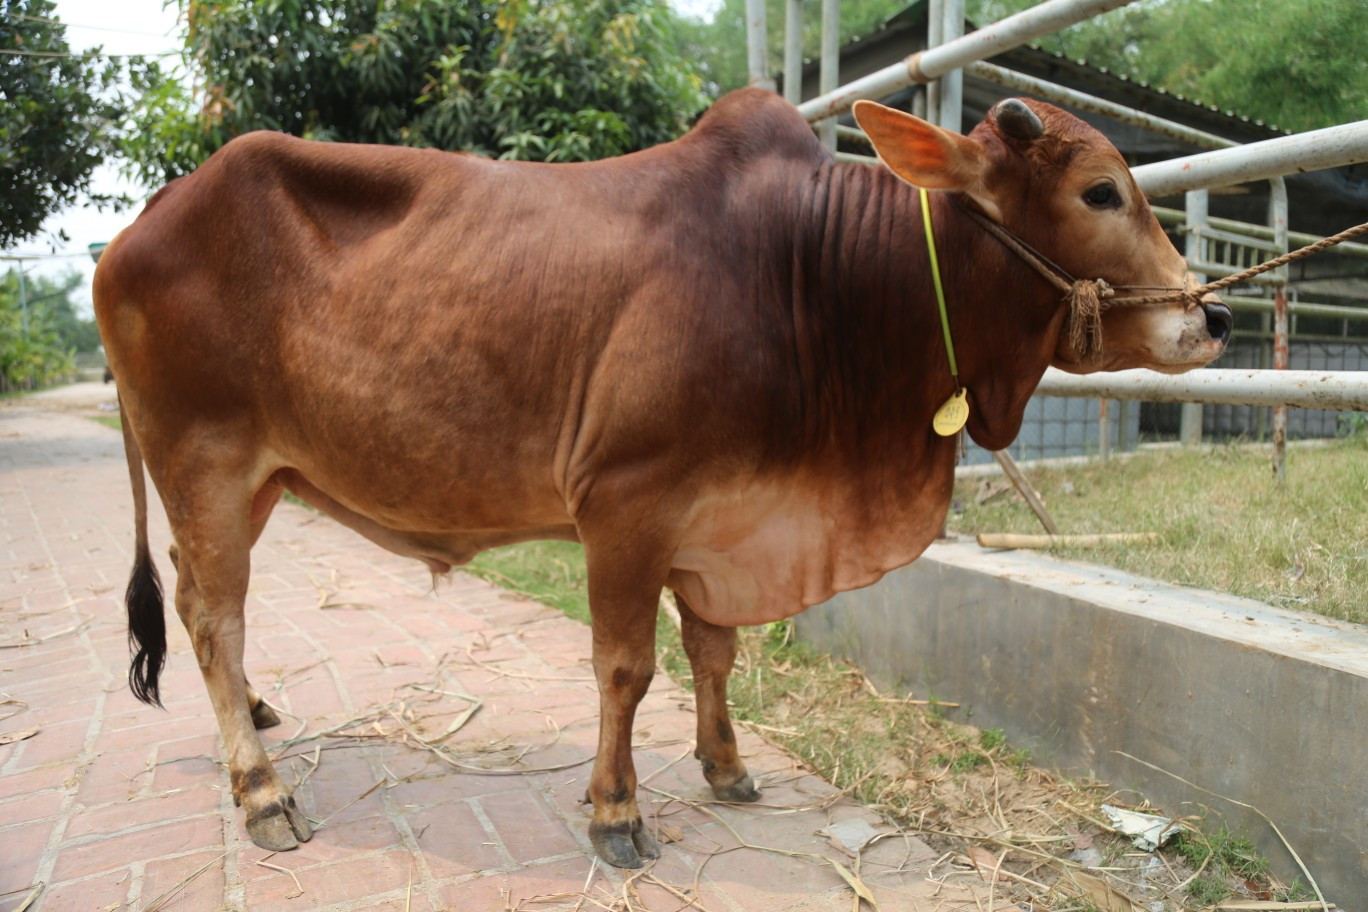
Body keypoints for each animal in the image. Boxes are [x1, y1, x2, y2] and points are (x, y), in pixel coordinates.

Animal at [93, 88, 1230, 869]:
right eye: (1100, 190)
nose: (1212, 313)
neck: (811, 276)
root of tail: (141, 223)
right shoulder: (626, 507)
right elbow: (626, 669)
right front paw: (616, 811)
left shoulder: (722, 518)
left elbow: (716, 654)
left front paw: (727, 769)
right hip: (205, 463)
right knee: (212, 617)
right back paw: (260, 792)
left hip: (254, 480)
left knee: (198, 605)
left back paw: (259, 716)